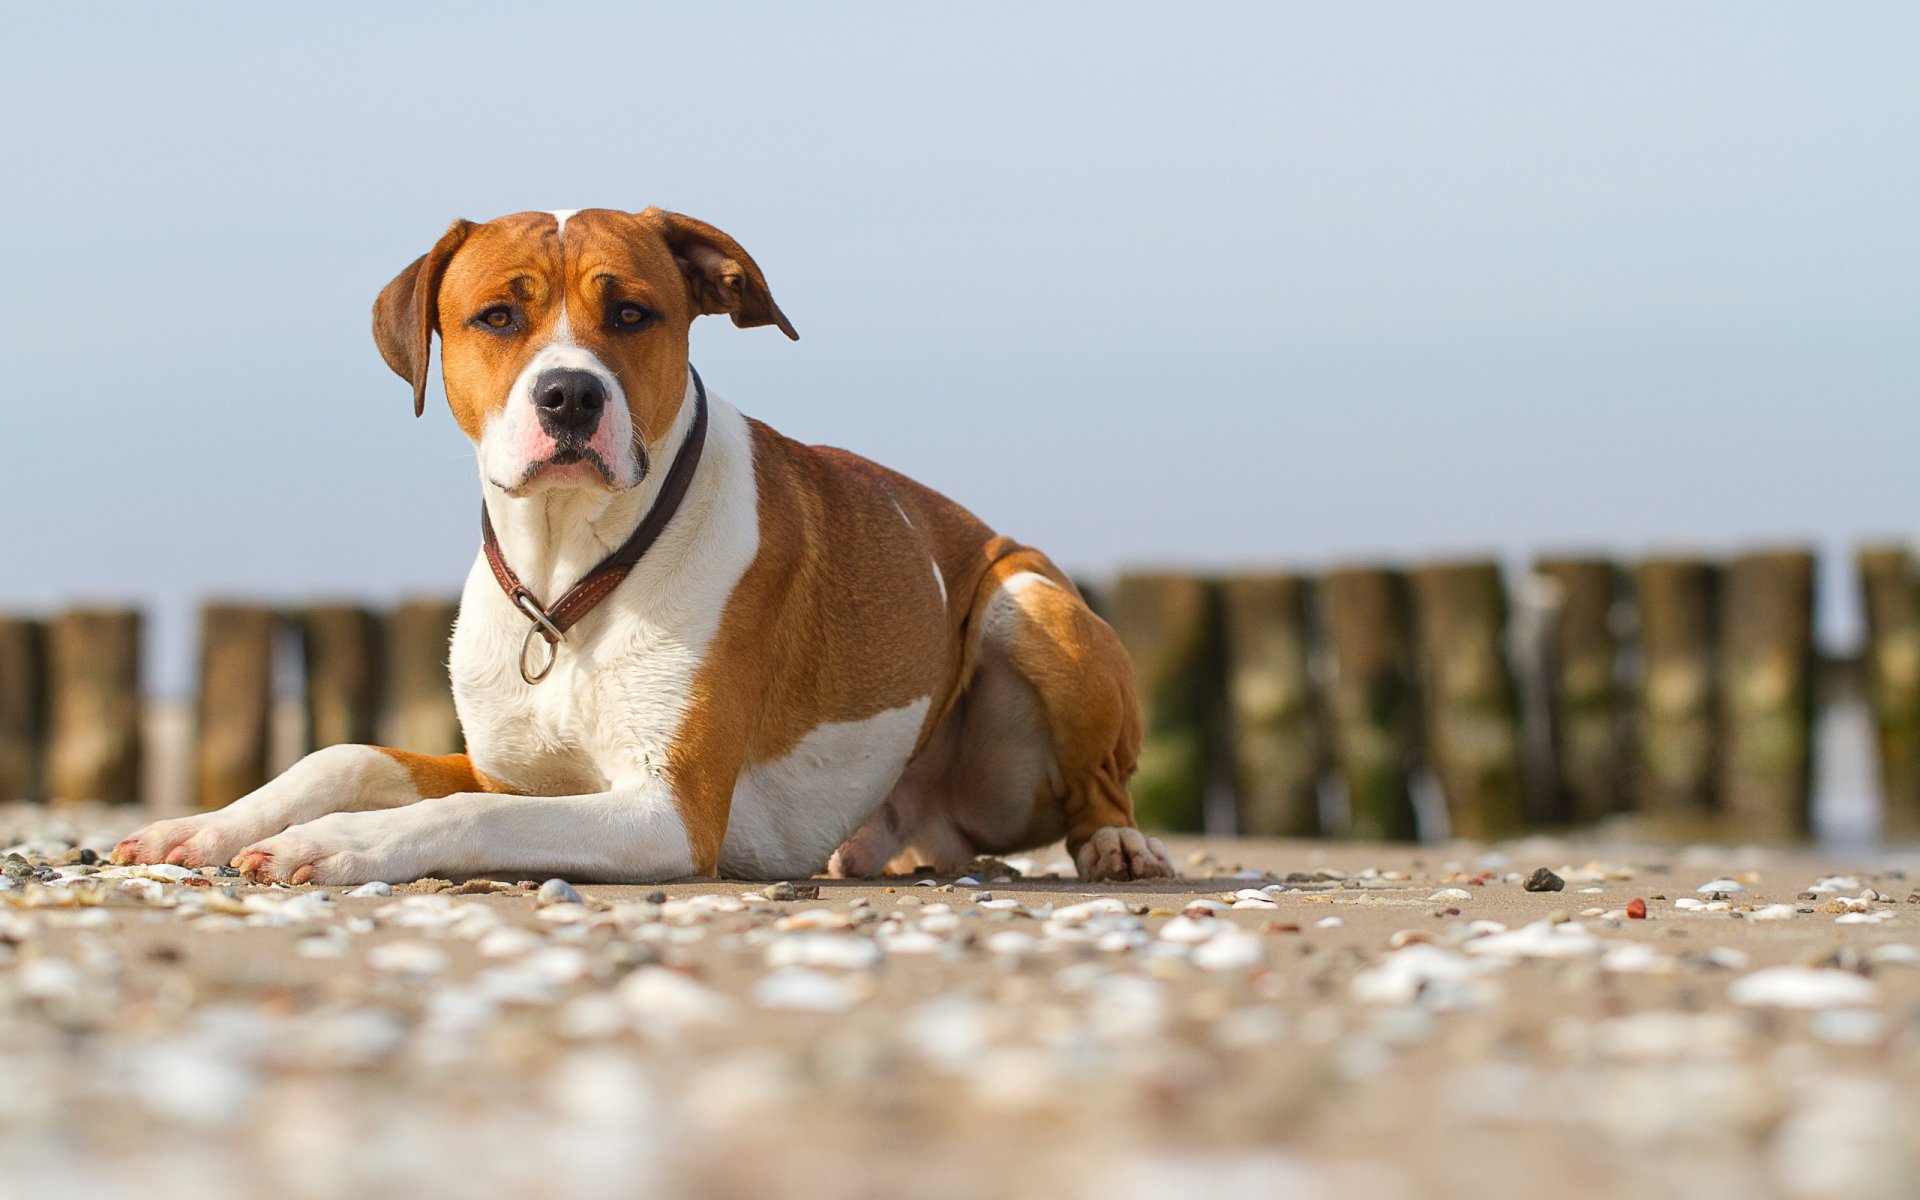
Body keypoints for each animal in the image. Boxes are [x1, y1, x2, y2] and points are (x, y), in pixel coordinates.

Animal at [120, 203, 1175, 879]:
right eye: (497, 315)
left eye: (632, 312)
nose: (569, 395)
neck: (566, 580)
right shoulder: (512, 767)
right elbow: (343, 757)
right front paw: (203, 830)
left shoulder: (669, 812)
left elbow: (460, 808)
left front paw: (335, 845)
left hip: (1029, 604)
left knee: (1100, 782)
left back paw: (1117, 846)